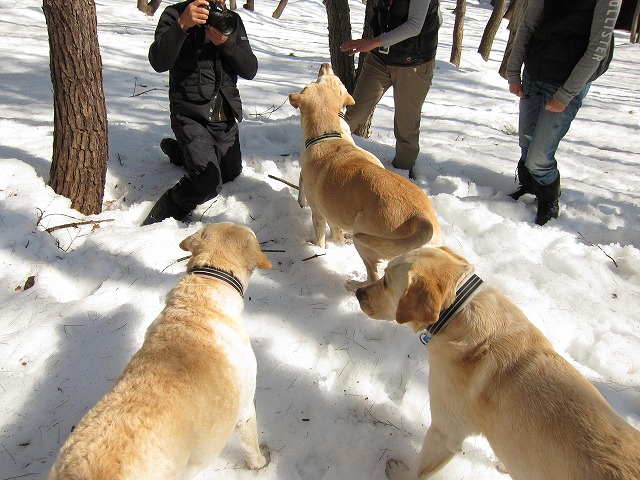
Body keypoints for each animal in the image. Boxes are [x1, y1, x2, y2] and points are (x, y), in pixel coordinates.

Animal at [288, 63, 440, 288]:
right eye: (332, 80)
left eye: (317, 81)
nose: (326, 64)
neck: (327, 134)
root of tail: (422, 219)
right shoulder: (333, 212)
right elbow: (336, 232)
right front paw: (338, 241)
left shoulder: (318, 211)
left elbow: (320, 236)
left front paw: (317, 247)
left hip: (364, 237)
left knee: (373, 276)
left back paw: (354, 285)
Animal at [356, 248, 640, 480]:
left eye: (386, 281)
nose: (358, 292)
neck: (458, 309)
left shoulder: (445, 431)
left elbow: (419, 470)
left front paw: (399, 472)